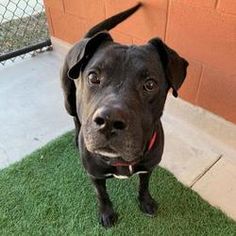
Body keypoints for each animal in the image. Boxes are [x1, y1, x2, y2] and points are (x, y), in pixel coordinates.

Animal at [60, 1, 188, 227]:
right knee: (75, 117)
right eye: (93, 77)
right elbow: (102, 194)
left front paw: (146, 202)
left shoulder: (149, 166)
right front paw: (106, 213)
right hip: (69, 100)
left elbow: (144, 185)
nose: (109, 121)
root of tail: (84, 40)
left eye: (150, 84)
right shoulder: (95, 175)